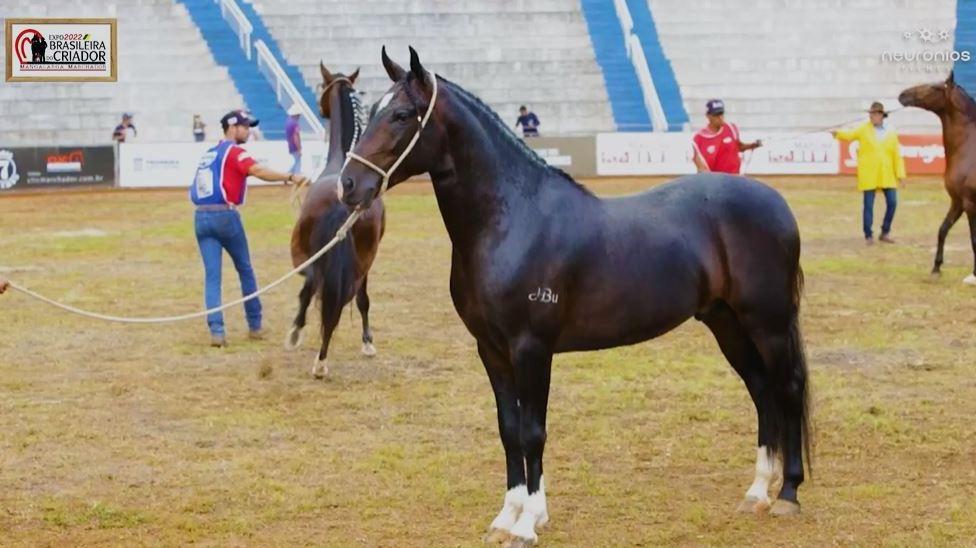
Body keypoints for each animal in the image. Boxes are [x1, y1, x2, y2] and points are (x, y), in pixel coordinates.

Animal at [286, 60, 386, 376]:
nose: (320, 108)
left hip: (304, 252)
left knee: (316, 287)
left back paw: (313, 351)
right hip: (360, 258)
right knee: (346, 294)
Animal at [340, 49, 812, 544]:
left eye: (401, 115)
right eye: (371, 110)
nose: (348, 185)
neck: (511, 220)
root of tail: (776, 203)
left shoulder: (531, 349)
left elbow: (533, 432)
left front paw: (528, 522)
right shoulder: (491, 350)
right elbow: (509, 430)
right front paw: (507, 517)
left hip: (769, 322)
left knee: (788, 387)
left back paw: (788, 494)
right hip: (726, 321)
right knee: (761, 389)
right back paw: (757, 491)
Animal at [900, 71, 976, 286]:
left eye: (934, 87)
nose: (903, 95)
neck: (968, 149)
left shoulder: (970, 204)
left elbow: (974, 240)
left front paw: (974, 275)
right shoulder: (957, 202)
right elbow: (943, 229)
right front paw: (936, 268)